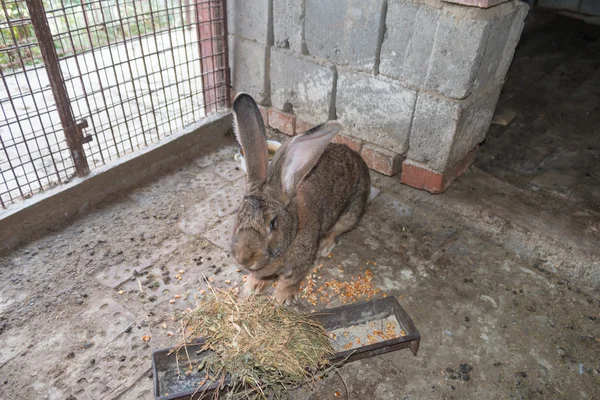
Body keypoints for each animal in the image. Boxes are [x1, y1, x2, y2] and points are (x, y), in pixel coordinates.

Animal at [231, 93, 368, 304]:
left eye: (272, 224)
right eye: (239, 215)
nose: (244, 257)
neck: (293, 229)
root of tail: (361, 162)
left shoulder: (301, 263)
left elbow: (290, 280)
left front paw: (282, 298)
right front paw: (252, 287)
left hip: (351, 213)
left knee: (337, 231)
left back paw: (325, 246)